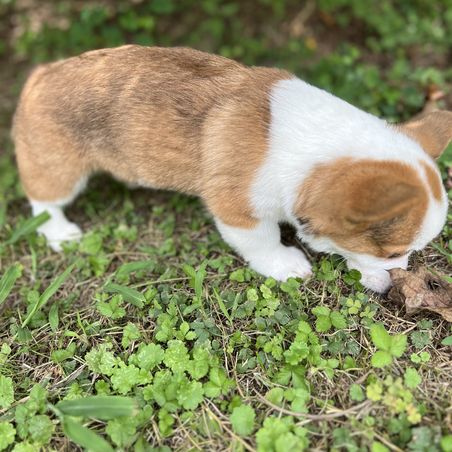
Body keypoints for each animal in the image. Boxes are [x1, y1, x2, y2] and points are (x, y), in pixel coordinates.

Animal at [12, 45, 450, 293]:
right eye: (394, 252)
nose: (396, 287)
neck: (314, 146)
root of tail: (37, 76)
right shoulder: (239, 211)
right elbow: (265, 241)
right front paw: (286, 265)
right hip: (59, 169)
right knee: (43, 203)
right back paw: (61, 233)